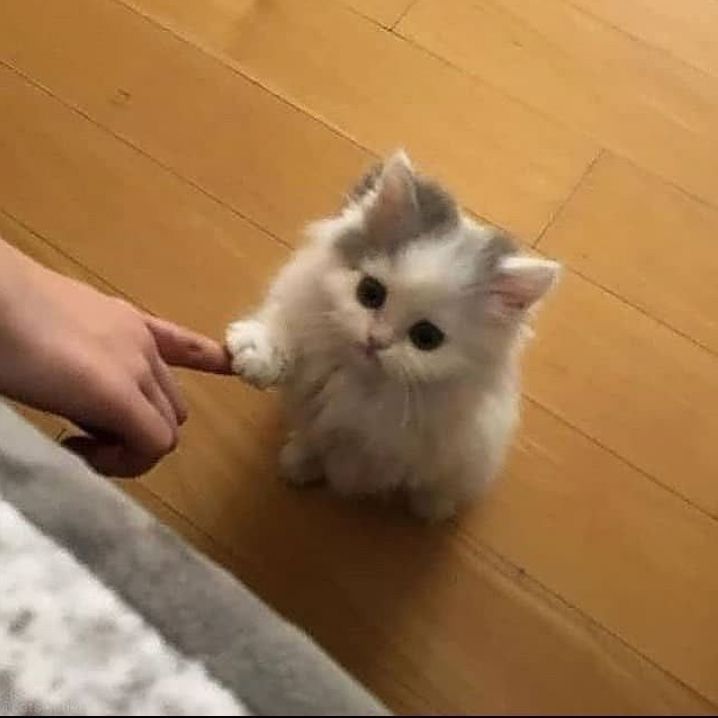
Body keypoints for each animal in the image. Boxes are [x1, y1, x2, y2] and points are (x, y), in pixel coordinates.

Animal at [228, 153, 560, 524]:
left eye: (426, 337)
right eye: (370, 294)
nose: (375, 339)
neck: (363, 381)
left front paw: (430, 507)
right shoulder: (304, 310)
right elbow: (284, 337)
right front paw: (258, 357)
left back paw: (434, 506)